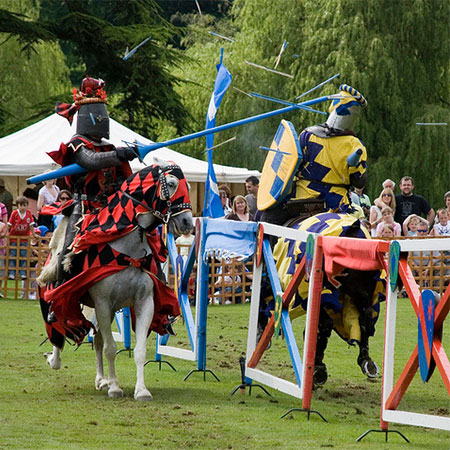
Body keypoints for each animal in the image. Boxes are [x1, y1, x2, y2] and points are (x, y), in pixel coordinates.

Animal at [40, 164, 192, 400]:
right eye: (172, 184)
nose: (188, 223)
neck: (127, 246)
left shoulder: (144, 303)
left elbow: (138, 350)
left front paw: (141, 390)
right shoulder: (103, 303)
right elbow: (111, 348)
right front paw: (115, 388)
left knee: (98, 342)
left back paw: (102, 379)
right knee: (59, 322)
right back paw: (55, 359)